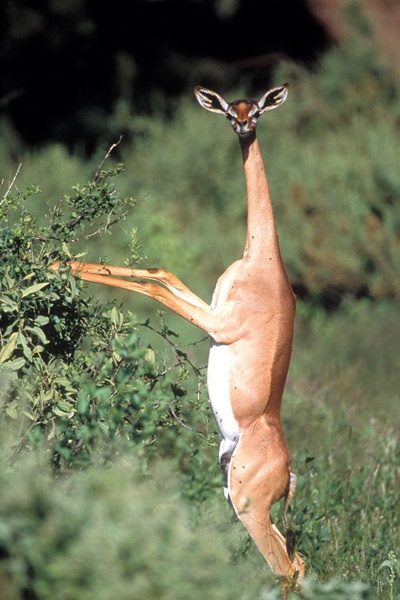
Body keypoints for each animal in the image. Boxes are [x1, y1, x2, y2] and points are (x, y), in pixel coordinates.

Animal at [51, 83, 304, 580]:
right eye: (229, 107)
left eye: (257, 109)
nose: (242, 125)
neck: (263, 261)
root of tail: (288, 470)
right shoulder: (210, 306)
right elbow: (160, 272)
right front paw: (56, 262)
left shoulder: (219, 324)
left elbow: (154, 290)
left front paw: (58, 264)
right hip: (237, 499)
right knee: (298, 562)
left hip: (248, 507)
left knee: (285, 568)